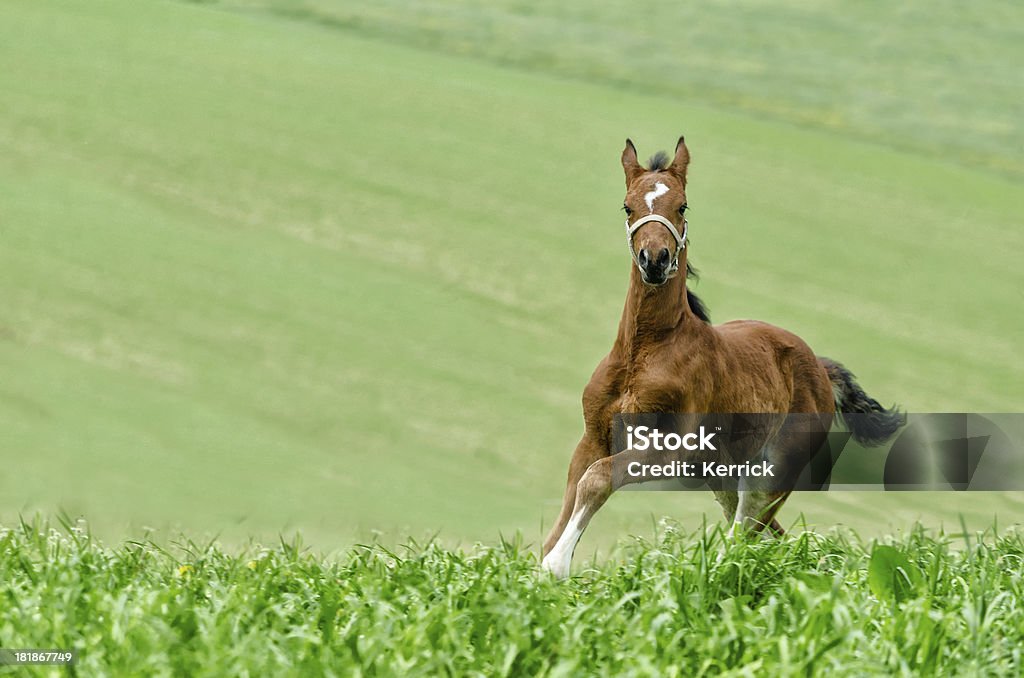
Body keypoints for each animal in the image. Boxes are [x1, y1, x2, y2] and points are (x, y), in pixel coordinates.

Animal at [540, 138, 901, 577]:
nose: (655, 259)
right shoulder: (593, 436)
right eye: (627, 206)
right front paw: (543, 563)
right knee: (769, 532)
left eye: (683, 206)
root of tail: (820, 367)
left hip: (772, 474)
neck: (643, 353)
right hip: (725, 473)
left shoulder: (671, 448)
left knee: (748, 533)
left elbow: (597, 478)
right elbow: (577, 489)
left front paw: (556, 566)